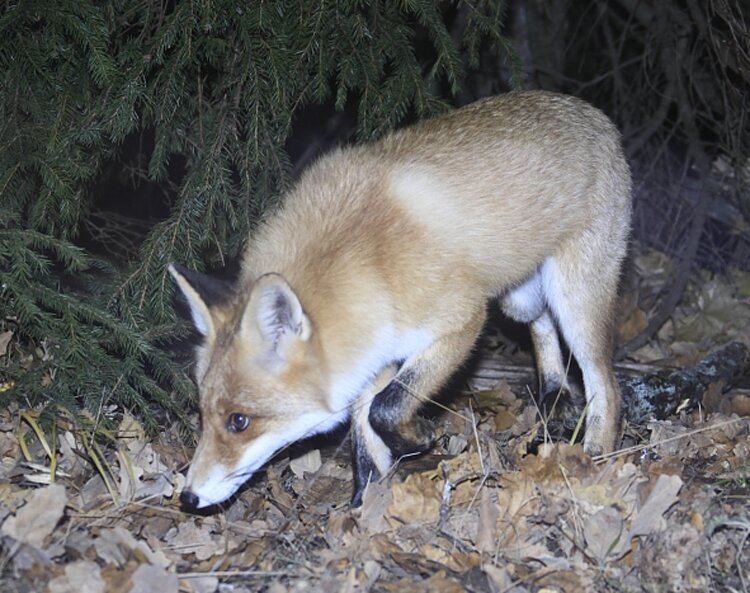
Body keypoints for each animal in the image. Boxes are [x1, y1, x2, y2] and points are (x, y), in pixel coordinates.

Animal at [172, 91, 636, 508]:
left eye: (239, 421)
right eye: (203, 414)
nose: (188, 497)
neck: (368, 262)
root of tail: (590, 110)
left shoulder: (462, 323)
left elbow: (385, 408)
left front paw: (418, 440)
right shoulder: (371, 351)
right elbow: (365, 428)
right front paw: (367, 502)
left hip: (574, 298)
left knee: (606, 385)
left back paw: (596, 456)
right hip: (518, 298)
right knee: (542, 324)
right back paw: (555, 392)